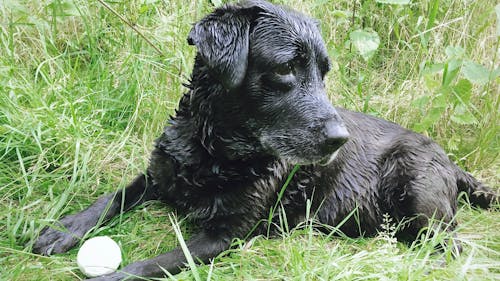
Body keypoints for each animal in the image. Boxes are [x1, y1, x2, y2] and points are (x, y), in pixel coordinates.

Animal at [33, 1, 498, 278]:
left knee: (450, 244)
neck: (214, 150)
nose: (341, 139)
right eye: (286, 68)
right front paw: (63, 229)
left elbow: (153, 264)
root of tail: (450, 160)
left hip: (418, 191)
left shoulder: (226, 234)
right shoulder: (161, 172)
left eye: (323, 73)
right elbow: (113, 196)